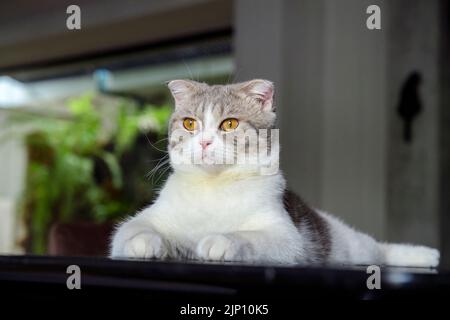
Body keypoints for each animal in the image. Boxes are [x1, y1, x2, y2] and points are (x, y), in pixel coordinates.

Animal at [110, 79, 442, 268]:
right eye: (190, 123)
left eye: (230, 124)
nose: (204, 142)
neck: (214, 187)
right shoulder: (149, 219)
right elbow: (131, 230)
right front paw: (144, 243)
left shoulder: (285, 236)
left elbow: (248, 237)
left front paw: (222, 240)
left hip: (350, 245)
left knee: (379, 250)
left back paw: (425, 255)